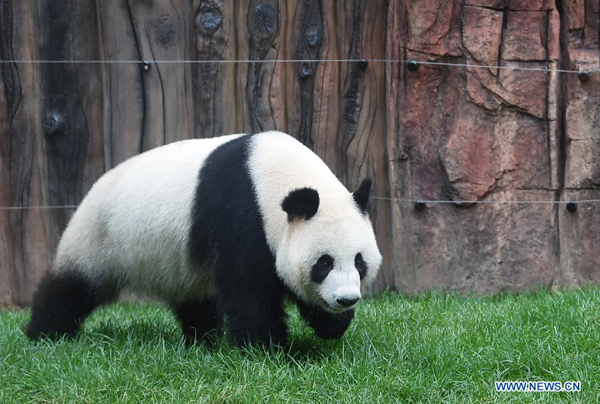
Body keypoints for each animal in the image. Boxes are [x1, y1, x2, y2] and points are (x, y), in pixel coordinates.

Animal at [25, 132, 382, 348]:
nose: (347, 299)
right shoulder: (242, 215)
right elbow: (249, 291)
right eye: (324, 263)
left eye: (359, 261)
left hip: (174, 261)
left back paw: (202, 340)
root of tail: (94, 186)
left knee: (193, 298)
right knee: (71, 288)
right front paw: (267, 348)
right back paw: (44, 334)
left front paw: (332, 325)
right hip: (101, 237)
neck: (269, 173)